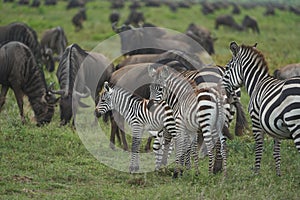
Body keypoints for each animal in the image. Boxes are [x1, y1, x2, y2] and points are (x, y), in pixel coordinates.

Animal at [223, 41, 300, 176]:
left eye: (227, 68)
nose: (221, 86)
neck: (257, 83)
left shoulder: (256, 120)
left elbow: (259, 147)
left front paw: (256, 173)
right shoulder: (275, 125)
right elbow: (276, 152)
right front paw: (278, 174)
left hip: (294, 123)